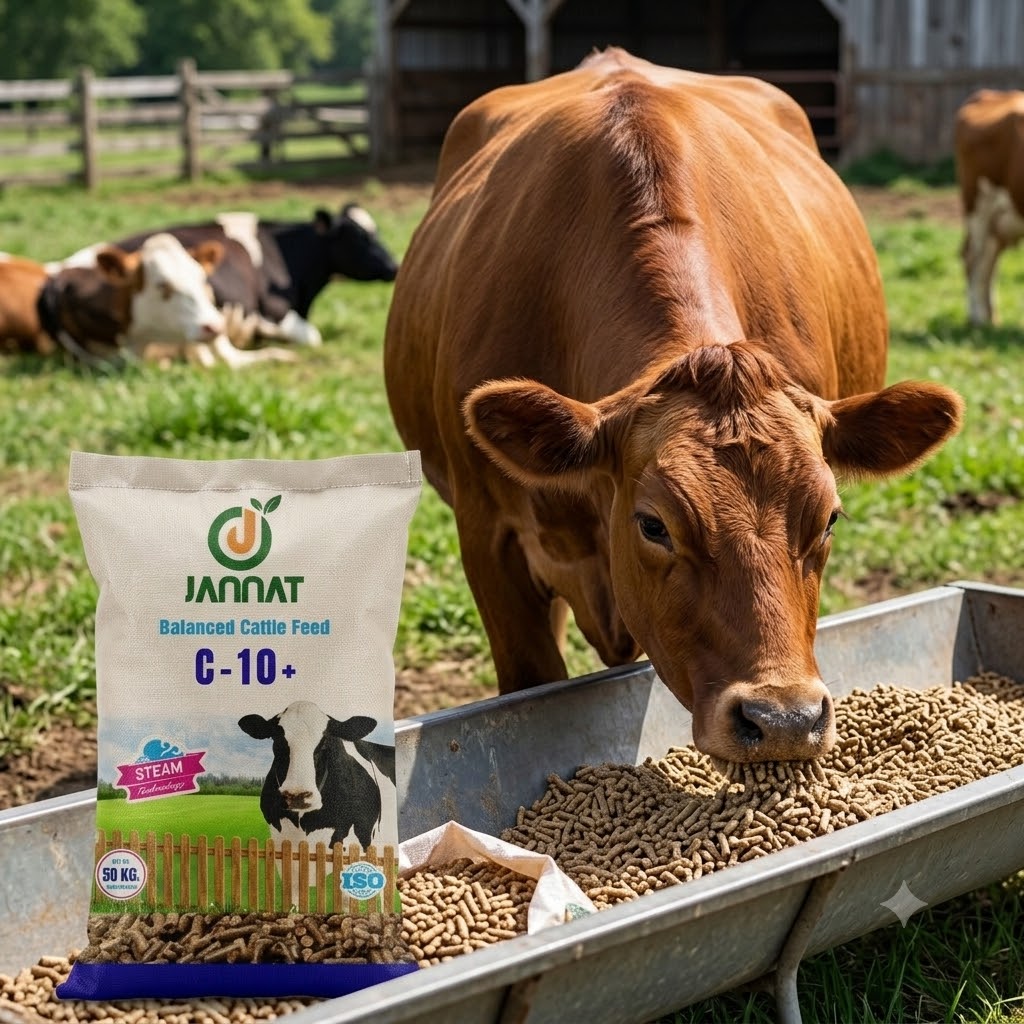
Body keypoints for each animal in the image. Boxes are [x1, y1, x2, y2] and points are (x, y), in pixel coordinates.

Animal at [954, 88, 1024, 325]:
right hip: (979, 205)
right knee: (973, 257)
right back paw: (977, 317)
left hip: (1001, 219)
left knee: (988, 261)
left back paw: (990, 317)